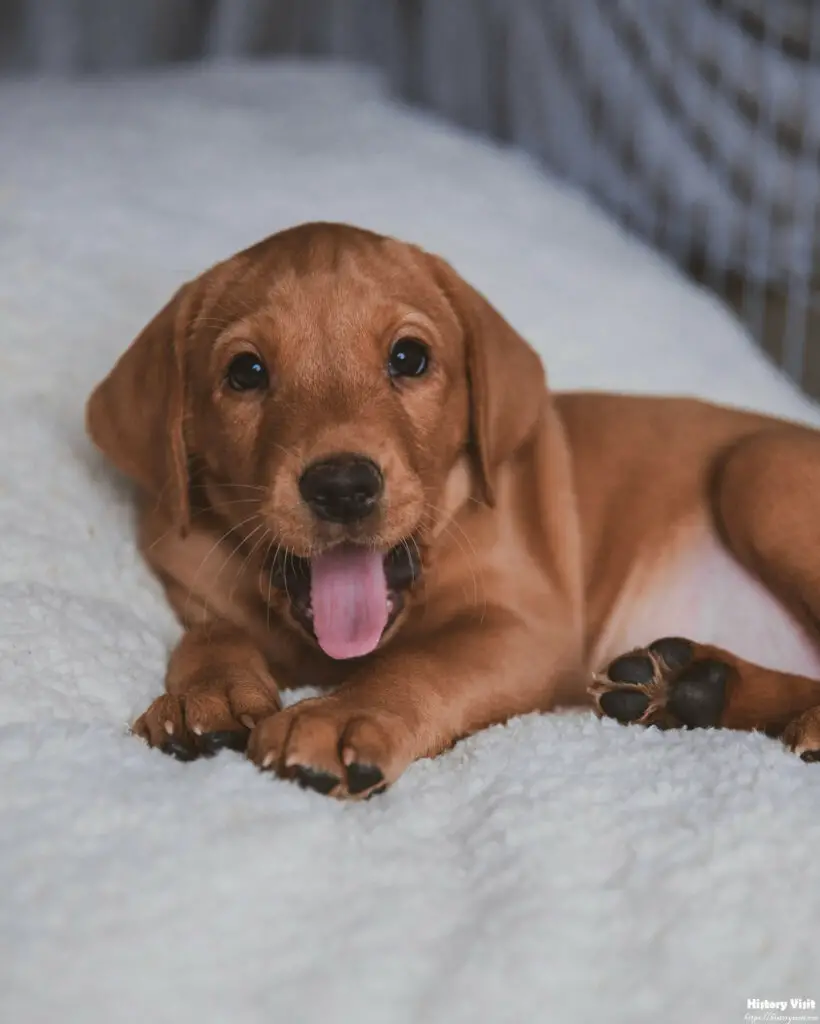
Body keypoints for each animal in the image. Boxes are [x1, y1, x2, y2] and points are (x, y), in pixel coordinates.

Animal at [84, 222, 820, 798]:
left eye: (409, 357)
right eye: (245, 372)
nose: (342, 485)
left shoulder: (526, 629)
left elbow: (417, 664)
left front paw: (339, 717)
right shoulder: (196, 582)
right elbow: (211, 635)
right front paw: (202, 695)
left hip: (759, 472)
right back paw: (690, 686)